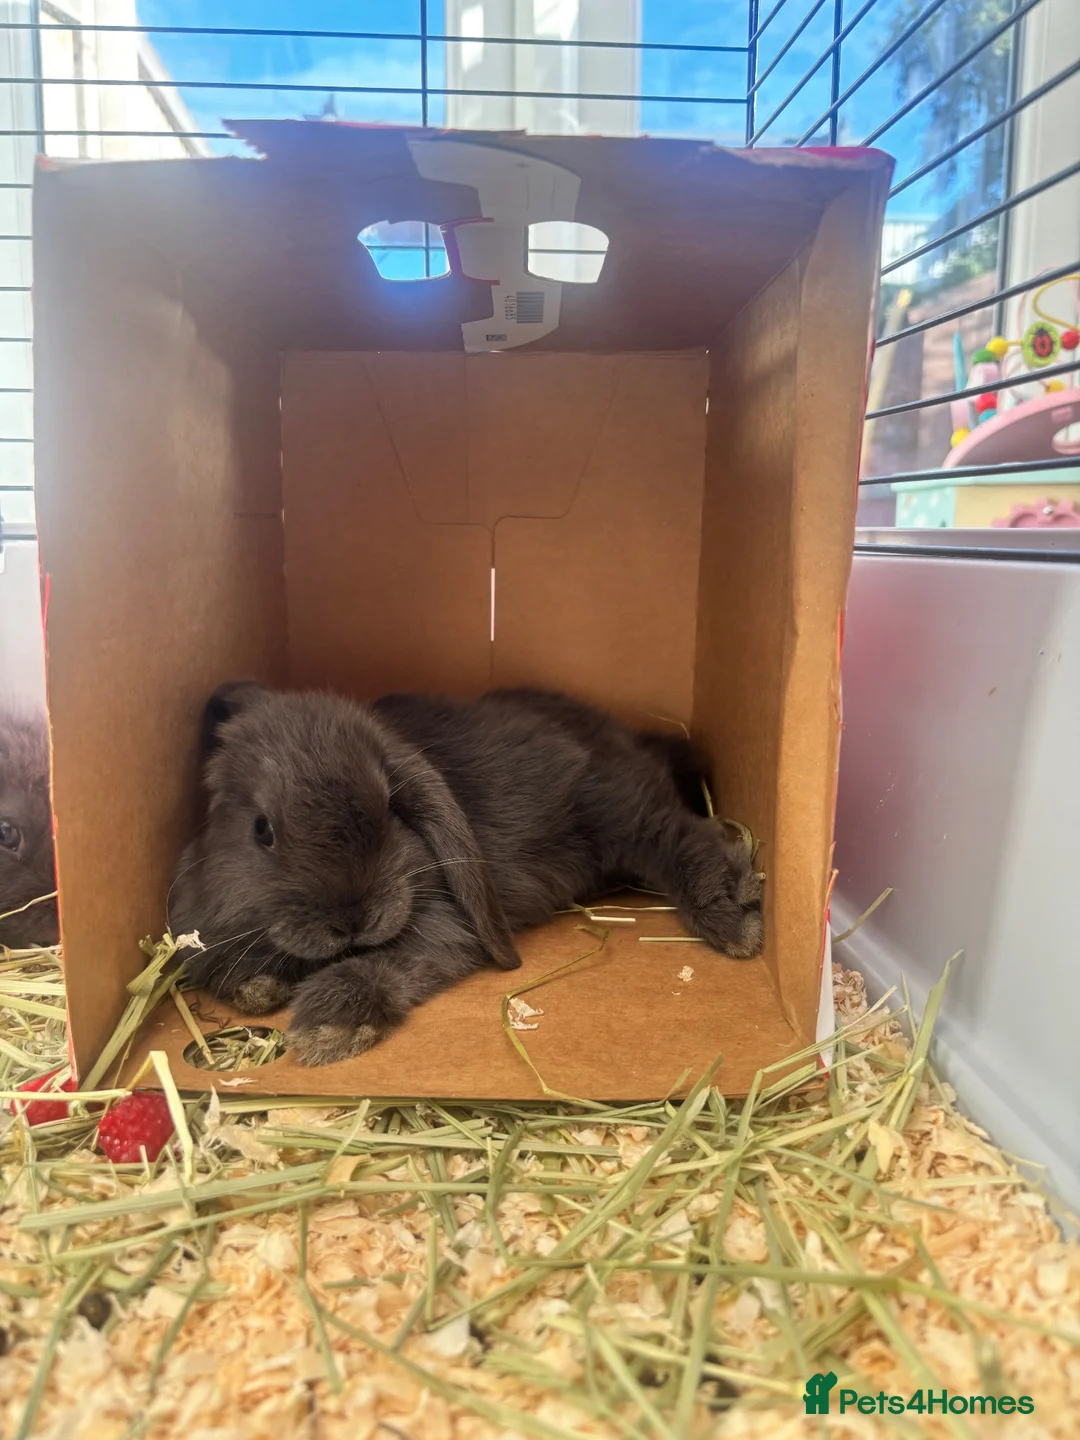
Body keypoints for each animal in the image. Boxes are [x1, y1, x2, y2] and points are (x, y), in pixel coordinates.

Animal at [170, 682, 763, 1066]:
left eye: (390, 810)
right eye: (262, 829)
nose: (354, 919)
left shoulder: (444, 922)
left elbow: (394, 960)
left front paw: (328, 1026)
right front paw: (259, 990)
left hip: (617, 807)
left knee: (681, 835)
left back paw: (735, 914)